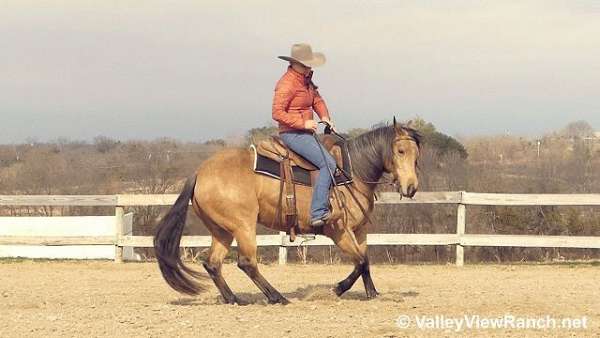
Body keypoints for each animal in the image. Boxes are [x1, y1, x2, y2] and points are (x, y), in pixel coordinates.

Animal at [152, 118, 420, 304]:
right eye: (400, 151)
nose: (411, 187)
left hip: (222, 231)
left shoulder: (359, 230)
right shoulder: (339, 231)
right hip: (243, 226)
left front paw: (372, 293)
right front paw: (336, 289)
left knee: (213, 264)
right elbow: (361, 261)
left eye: (417, 154)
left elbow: (365, 261)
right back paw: (277, 297)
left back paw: (234, 299)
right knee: (247, 263)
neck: (350, 172)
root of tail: (200, 172)